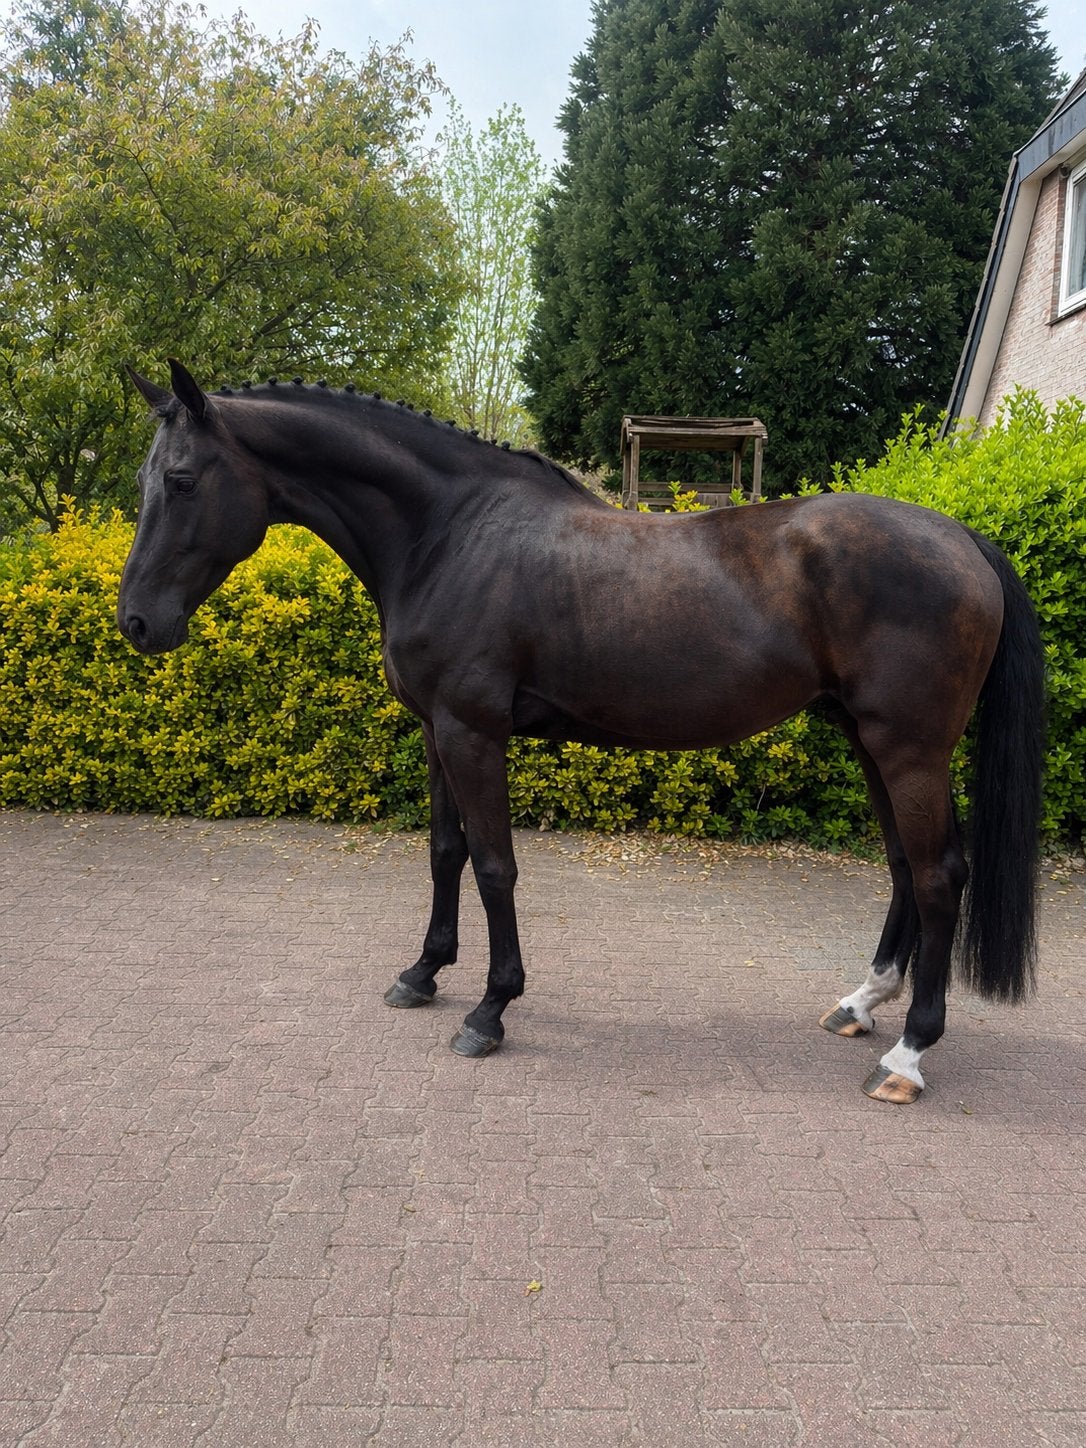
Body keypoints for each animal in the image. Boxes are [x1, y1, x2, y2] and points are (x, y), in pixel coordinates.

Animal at [117, 360, 1045, 1105]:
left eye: (184, 479)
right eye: (146, 478)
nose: (136, 622)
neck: (448, 534)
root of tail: (962, 538)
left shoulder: (474, 733)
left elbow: (495, 867)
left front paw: (490, 1009)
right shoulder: (436, 733)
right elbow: (445, 854)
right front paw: (423, 973)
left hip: (909, 748)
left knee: (938, 875)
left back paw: (909, 1053)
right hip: (866, 739)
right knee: (901, 867)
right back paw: (861, 1003)